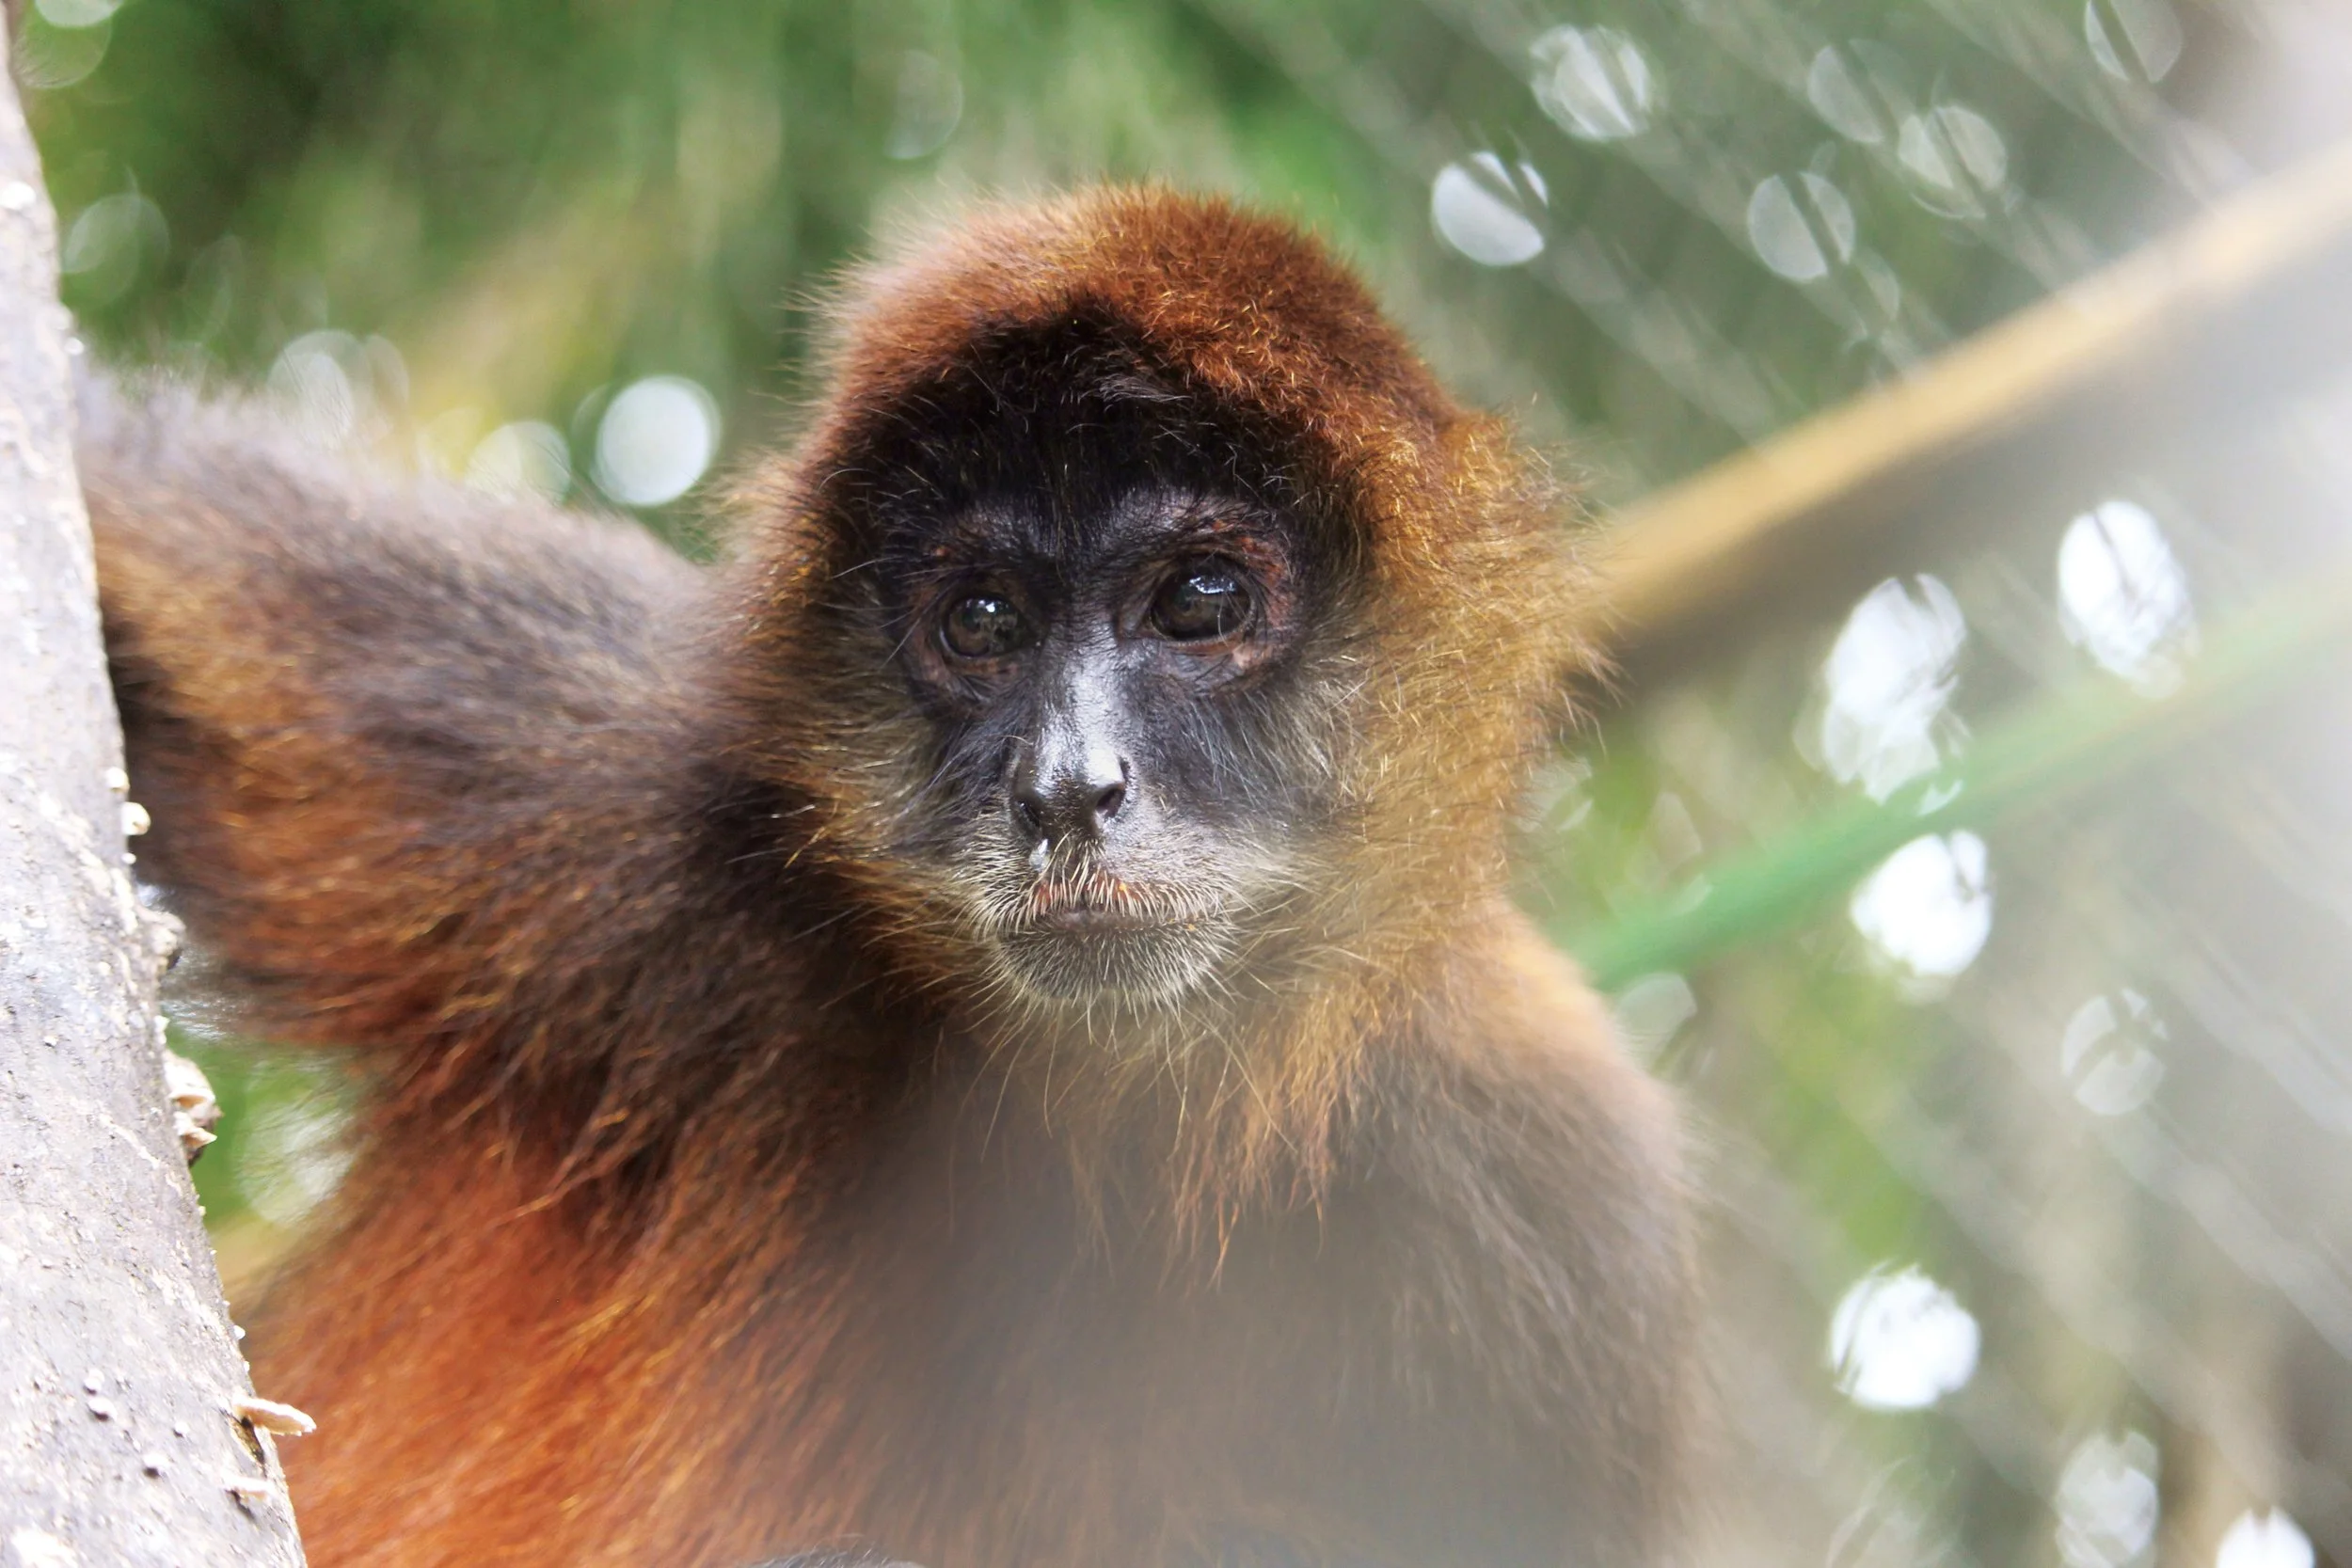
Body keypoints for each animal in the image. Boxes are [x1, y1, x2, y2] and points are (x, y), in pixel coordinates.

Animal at [83, 187, 1697, 1568]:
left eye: (1201, 602)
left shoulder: (1550, 1184)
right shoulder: (631, 787)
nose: (1065, 789)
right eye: (982, 621)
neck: (1093, 1118)